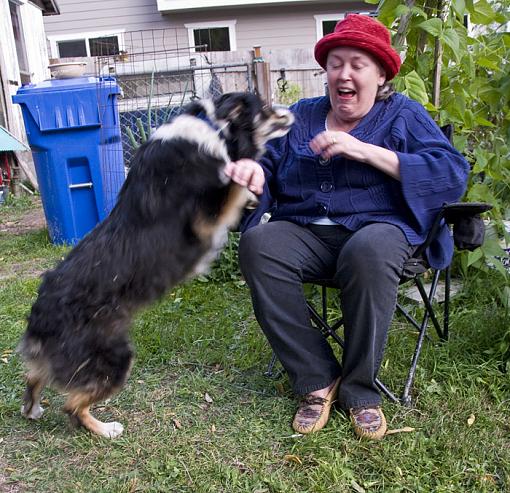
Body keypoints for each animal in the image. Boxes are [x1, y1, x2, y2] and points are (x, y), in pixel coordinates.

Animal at [18, 92, 294, 438]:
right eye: (265, 106)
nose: (291, 111)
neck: (212, 125)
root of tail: (40, 311)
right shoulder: (205, 220)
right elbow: (237, 176)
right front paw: (248, 175)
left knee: (34, 377)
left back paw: (32, 409)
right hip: (115, 356)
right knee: (72, 405)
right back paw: (107, 429)